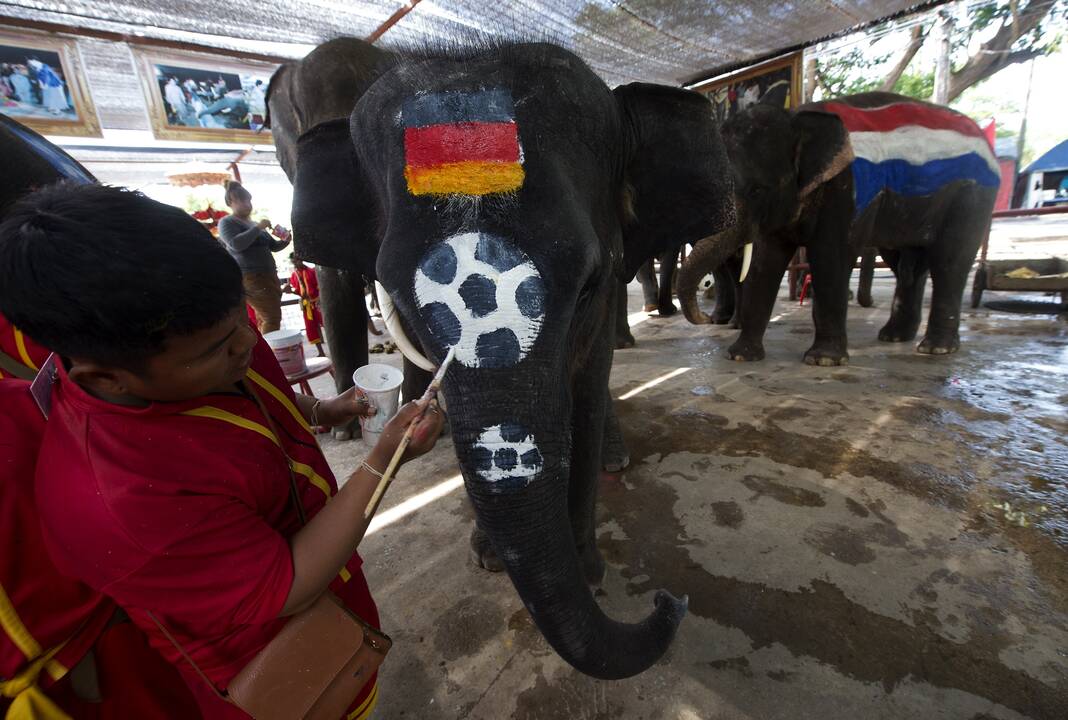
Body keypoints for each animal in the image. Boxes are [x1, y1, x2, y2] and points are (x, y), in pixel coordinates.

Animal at [286, 42, 734, 675]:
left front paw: (590, 572)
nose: (670, 599)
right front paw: (488, 559)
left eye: (589, 282)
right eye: (393, 290)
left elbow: (586, 394)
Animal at [674, 92, 999, 365]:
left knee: (950, 261)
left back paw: (935, 348)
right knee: (907, 265)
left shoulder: (846, 187)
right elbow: (765, 264)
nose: (705, 319)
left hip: (974, 196)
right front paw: (741, 356)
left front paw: (823, 361)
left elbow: (831, 257)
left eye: (756, 190)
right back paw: (894, 337)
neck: (796, 117)